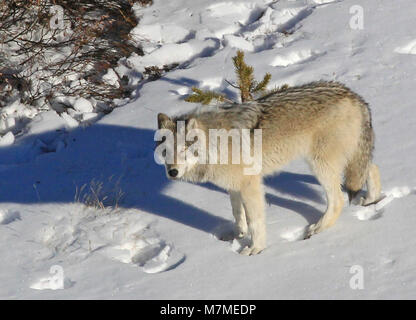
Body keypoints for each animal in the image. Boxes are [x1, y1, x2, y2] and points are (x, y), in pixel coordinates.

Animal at [155, 82, 380, 255]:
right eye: (166, 151)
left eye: (184, 149)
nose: (172, 172)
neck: (216, 144)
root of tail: (354, 95)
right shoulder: (234, 186)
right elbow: (237, 213)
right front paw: (238, 235)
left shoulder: (250, 184)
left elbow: (255, 221)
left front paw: (256, 249)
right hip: (349, 158)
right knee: (372, 168)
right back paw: (372, 200)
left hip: (320, 165)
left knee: (338, 200)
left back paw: (317, 229)